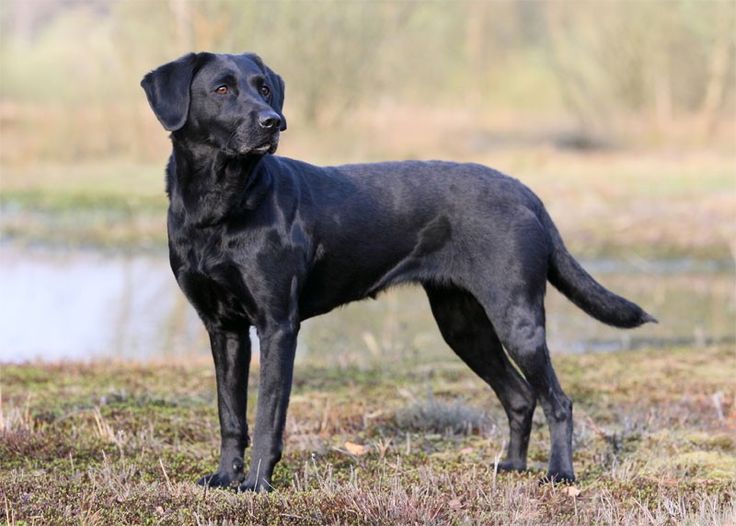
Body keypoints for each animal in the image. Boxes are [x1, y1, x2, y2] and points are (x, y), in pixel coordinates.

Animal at [141, 52, 655, 492]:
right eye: (222, 89)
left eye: (264, 88)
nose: (274, 122)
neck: (220, 206)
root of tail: (524, 191)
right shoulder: (223, 327)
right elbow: (231, 414)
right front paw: (225, 479)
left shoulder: (277, 325)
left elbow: (268, 413)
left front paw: (256, 486)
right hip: (462, 324)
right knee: (520, 396)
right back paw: (511, 466)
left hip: (517, 318)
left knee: (557, 400)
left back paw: (560, 475)